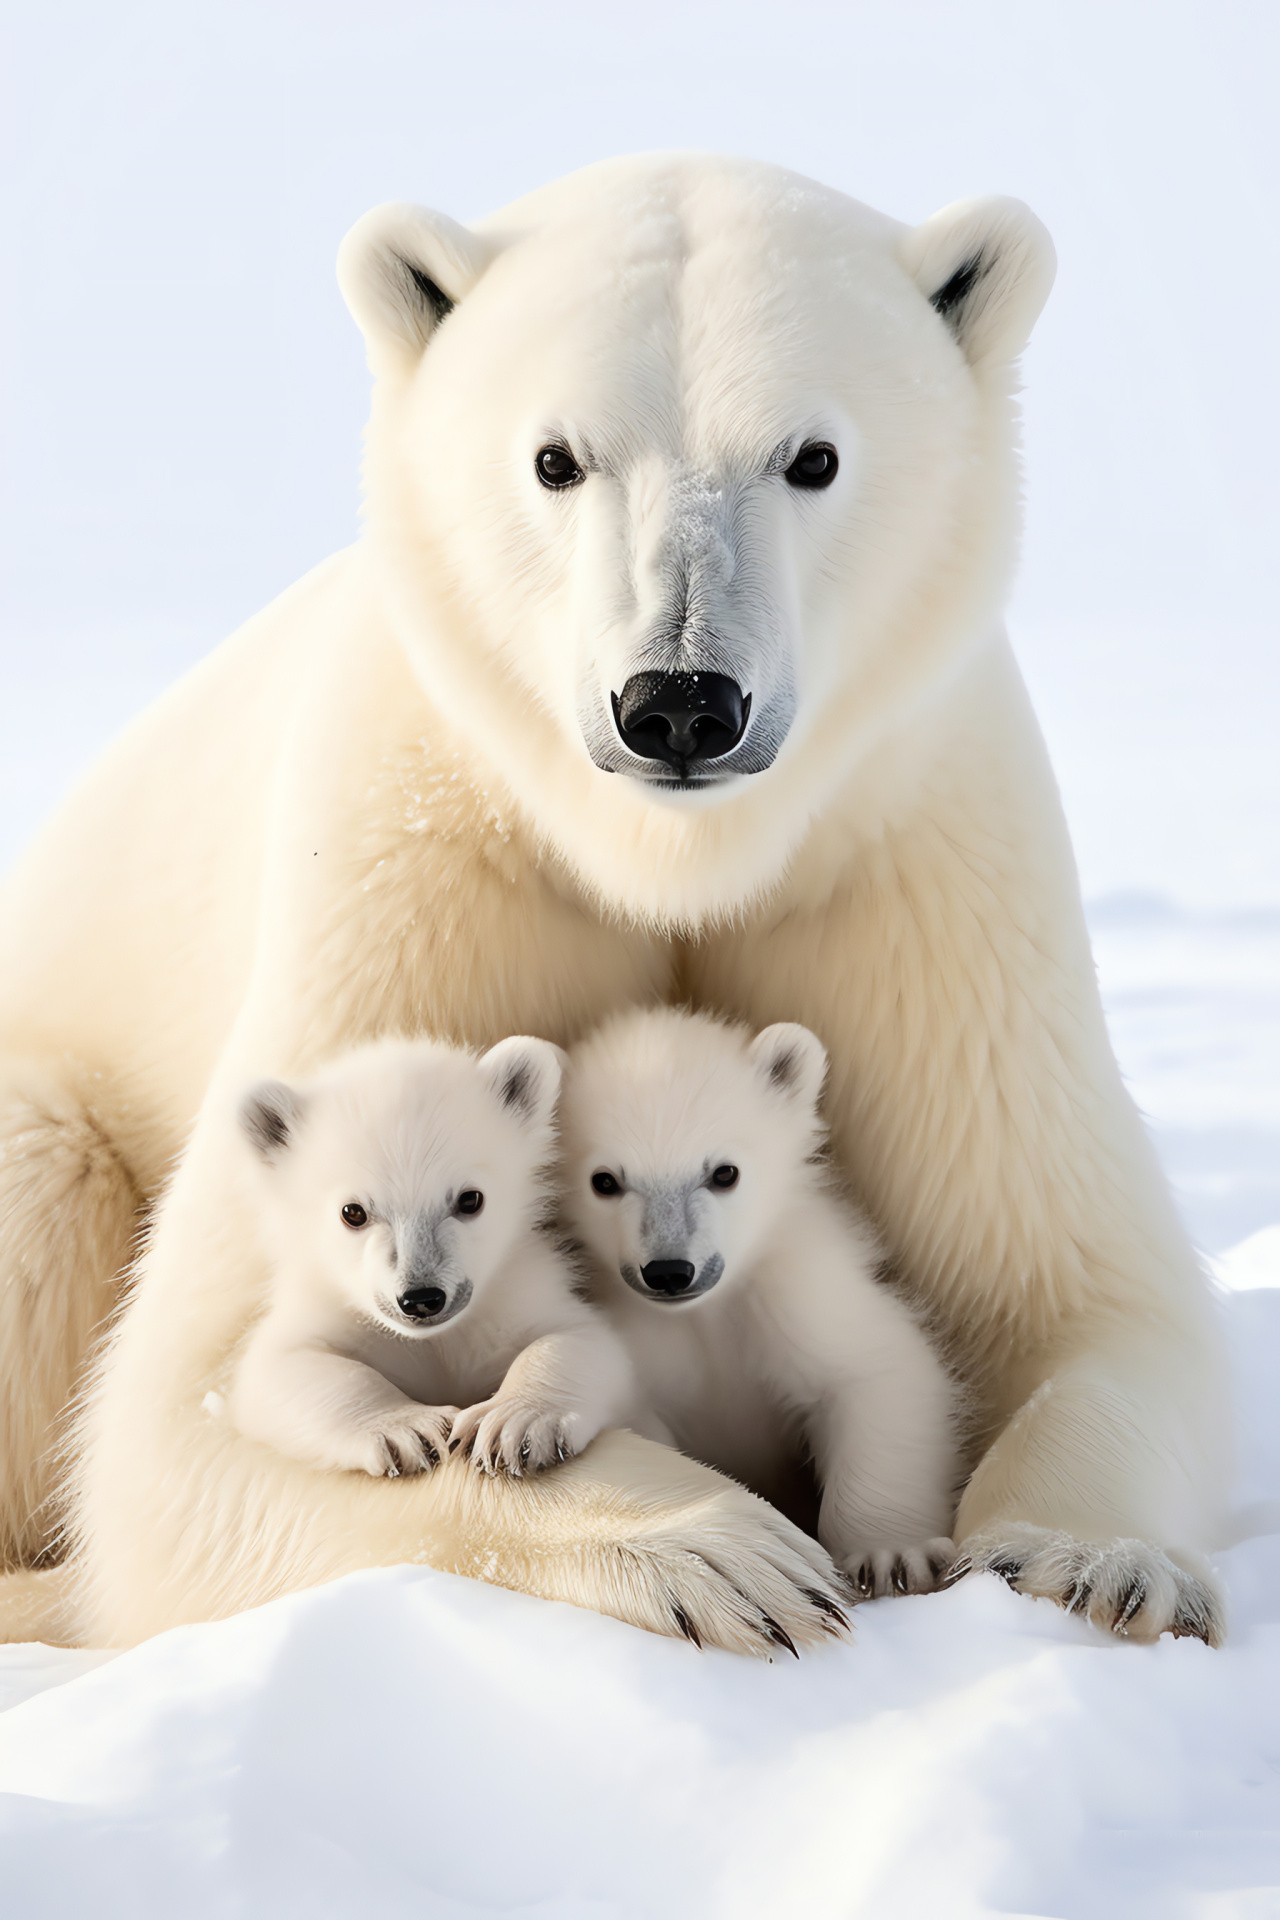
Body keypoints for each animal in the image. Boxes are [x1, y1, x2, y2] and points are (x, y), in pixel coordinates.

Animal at [231, 1036, 640, 1482]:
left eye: (470, 1199)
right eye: (352, 1211)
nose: (421, 1298)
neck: (435, 1340)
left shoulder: (517, 1293)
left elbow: (584, 1341)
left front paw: (513, 1424)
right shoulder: (329, 1306)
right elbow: (280, 1367)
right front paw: (407, 1429)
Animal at [560, 1006, 959, 1605]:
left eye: (724, 1172)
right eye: (604, 1181)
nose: (670, 1271)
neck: (705, 1316)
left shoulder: (797, 1292)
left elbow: (876, 1372)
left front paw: (890, 1555)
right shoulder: (637, 1333)